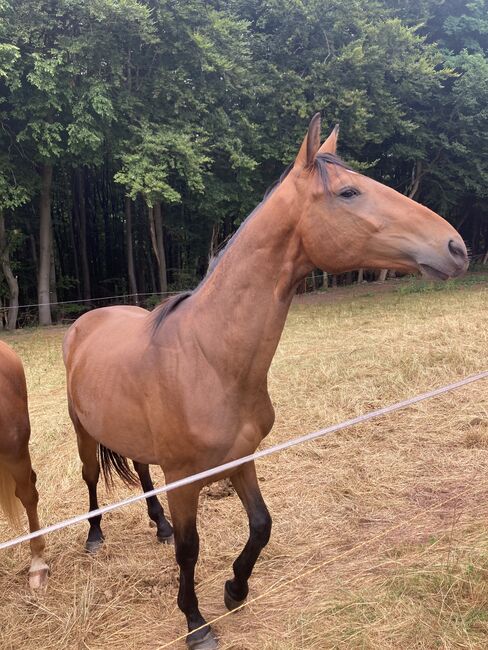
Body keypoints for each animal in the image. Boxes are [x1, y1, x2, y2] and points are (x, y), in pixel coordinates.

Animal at [63, 114, 468, 644]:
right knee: (92, 479)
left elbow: (261, 525)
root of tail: (84, 323)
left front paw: (235, 589)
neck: (209, 358)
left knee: (142, 473)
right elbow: (190, 550)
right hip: (83, 431)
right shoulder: (185, 479)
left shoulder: (242, 458)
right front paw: (196, 624)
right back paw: (95, 536)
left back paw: (159, 526)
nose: (456, 247)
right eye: (349, 192)